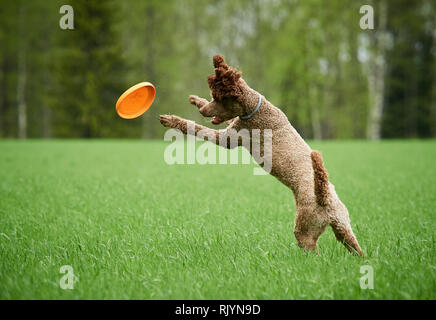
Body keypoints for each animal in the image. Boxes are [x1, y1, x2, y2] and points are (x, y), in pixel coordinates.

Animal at [158, 54, 362, 255]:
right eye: (212, 96)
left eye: (220, 99)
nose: (202, 111)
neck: (253, 108)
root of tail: (324, 198)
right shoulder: (235, 124)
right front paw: (195, 99)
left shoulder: (229, 138)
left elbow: (196, 128)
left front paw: (172, 120)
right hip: (343, 228)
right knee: (357, 249)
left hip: (306, 230)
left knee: (311, 250)